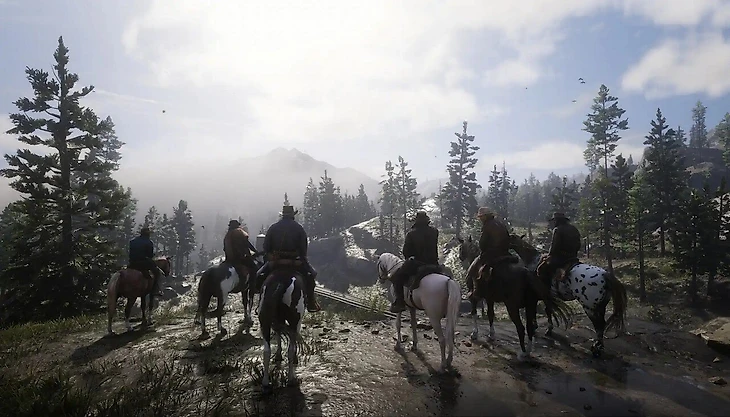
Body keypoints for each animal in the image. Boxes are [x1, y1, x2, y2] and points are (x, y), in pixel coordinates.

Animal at [257, 262, 306, 395]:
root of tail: (280, 283)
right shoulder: (297, 322)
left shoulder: (278, 319)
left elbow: (278, 334)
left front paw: (278, 355)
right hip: (294, 319)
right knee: (290, 349)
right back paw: (291, 379)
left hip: (264, 321)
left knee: (266, 350)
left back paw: (265, 383)